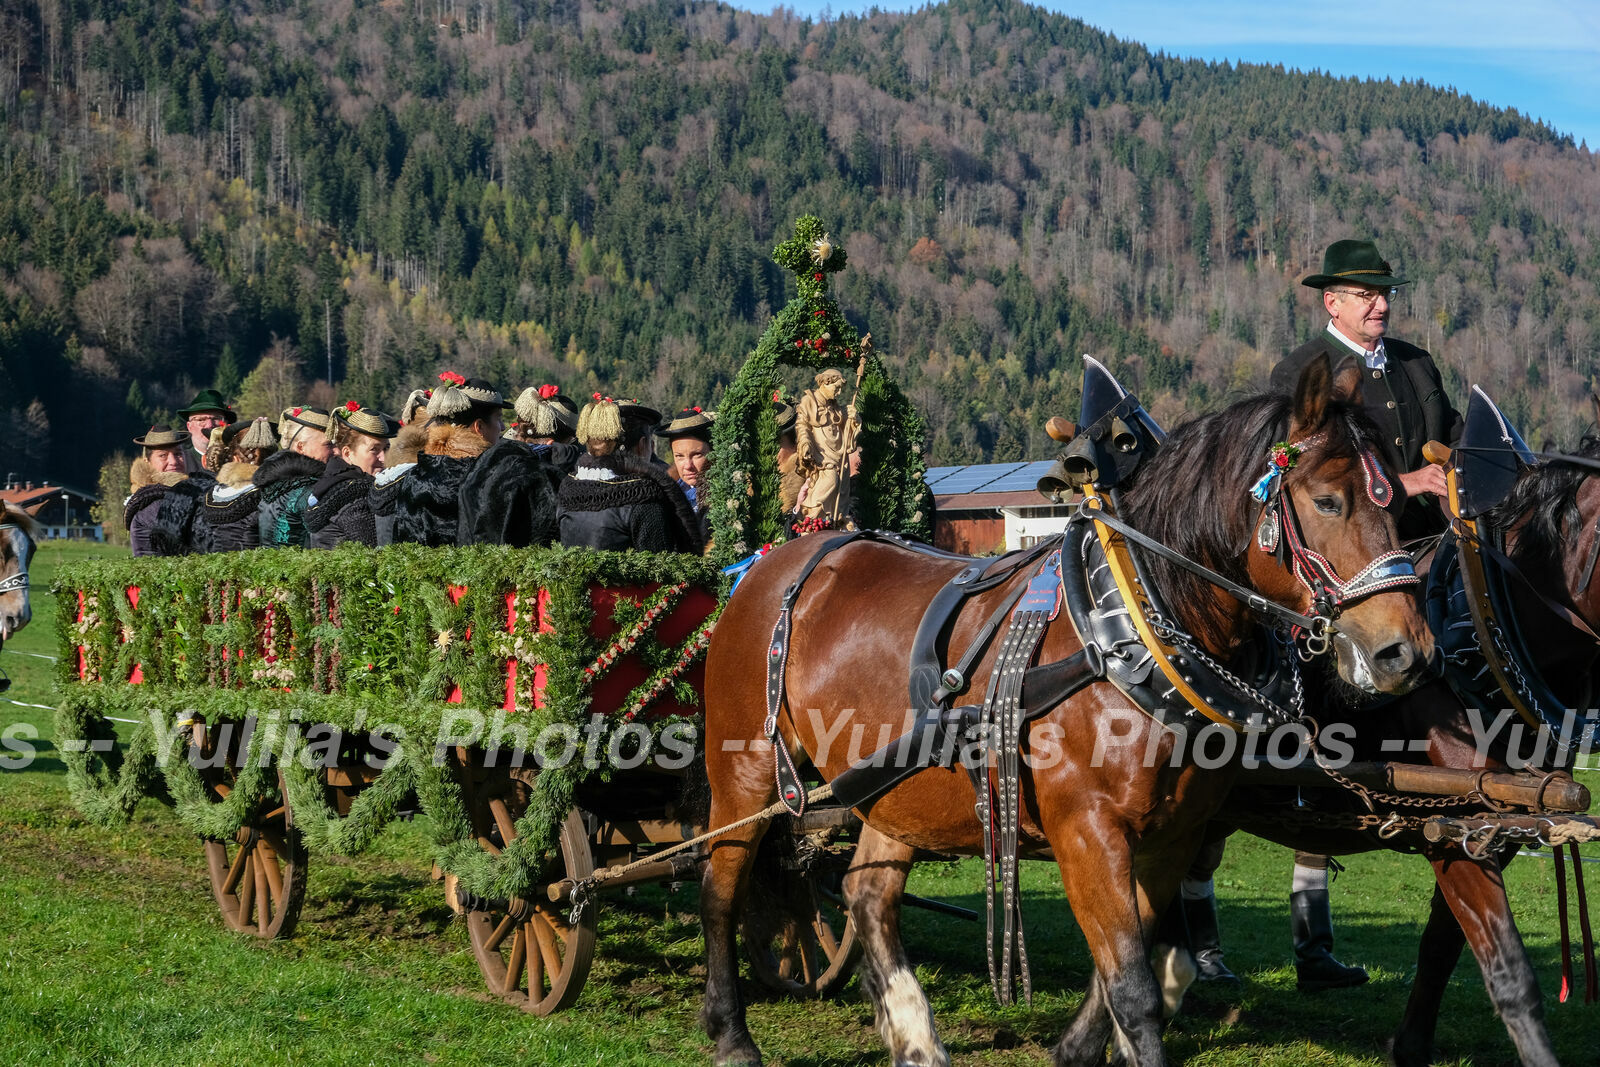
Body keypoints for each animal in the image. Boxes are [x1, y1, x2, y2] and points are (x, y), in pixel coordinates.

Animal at [700, 361, 1440, 1067]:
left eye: (1402, 505)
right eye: (1328, 500)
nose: (1406, 653)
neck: (1127, 630)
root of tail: (780, 557)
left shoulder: (1172, 835)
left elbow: (1135, 970)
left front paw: (1076, 1048)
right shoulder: (1088, 831)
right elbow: (1133, 988)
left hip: (896, 787)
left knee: (868, 896)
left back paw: (914, 1037)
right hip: (745, 769)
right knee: (721, 883)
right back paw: (732, 1033)